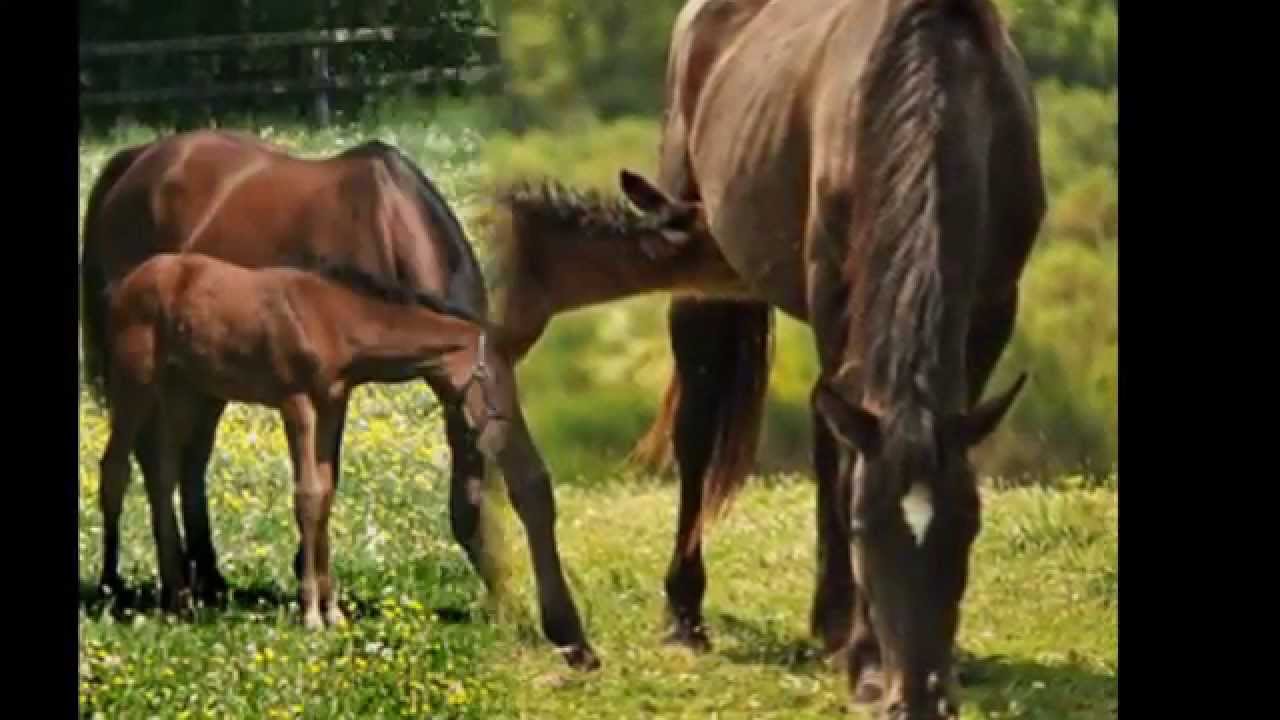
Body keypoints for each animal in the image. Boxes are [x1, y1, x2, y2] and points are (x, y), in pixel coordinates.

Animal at [100, 252, 509, 629]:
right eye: (494, 376)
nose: (498, 435)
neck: (333, 318)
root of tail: (130, 281)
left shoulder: (332, 404)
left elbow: (325, 495)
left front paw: (333, 612)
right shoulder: (296, 401)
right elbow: (307, 495)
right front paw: (312, 614)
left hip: (182, 392)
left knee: (162, 474)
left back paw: (179, 600)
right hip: (134, 382)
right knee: (115, 470)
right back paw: (112, 590)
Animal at [489, 0, 1046, 715]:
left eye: (969, 528)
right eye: (865, 529)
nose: (916, 693)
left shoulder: (995, 304)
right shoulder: (836, 297)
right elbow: (842, 465)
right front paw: (865, 659)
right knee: (700, 430)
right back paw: (687, 614)